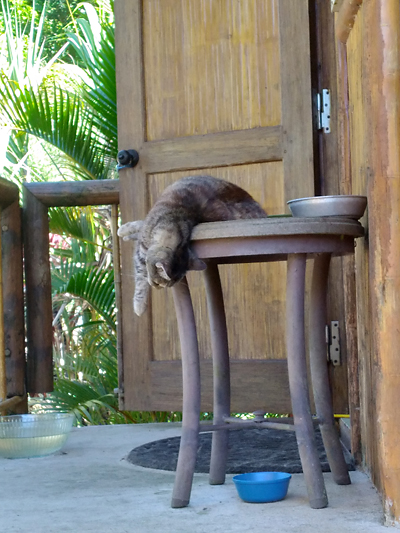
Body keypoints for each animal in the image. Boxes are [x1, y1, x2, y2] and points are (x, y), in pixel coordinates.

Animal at [117, 175, 268, 316]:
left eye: (162, 284)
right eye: (158, 283)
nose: (156, 287)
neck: (176, 218)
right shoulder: (141, 251)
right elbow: (141, 278)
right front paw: (139, 306)